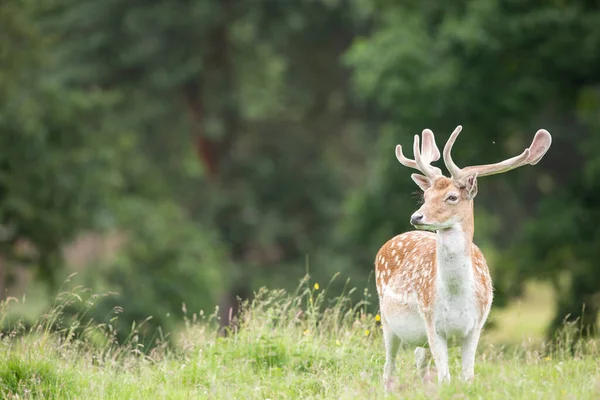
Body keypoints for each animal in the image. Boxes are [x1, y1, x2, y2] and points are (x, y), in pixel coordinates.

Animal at [378, 125, 552, 388]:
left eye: (452, 197)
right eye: (425, 196)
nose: (416, 216)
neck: (455, 300)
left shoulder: (475, 327)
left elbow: (467, 376)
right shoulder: (433, 325)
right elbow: (445, 378)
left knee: (419, 360)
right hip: (387, 318)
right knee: (389, 367)